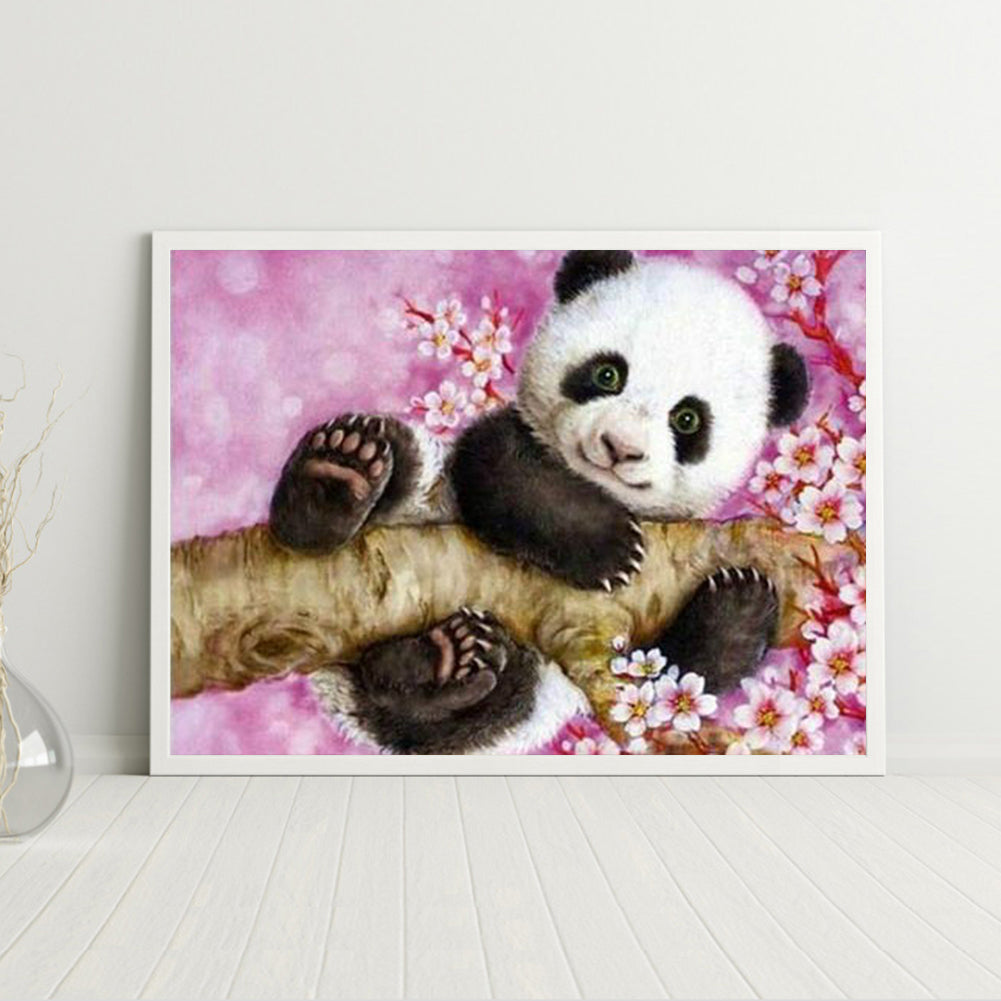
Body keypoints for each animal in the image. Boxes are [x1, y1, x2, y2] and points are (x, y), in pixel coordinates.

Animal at [270, 250, 809, 753]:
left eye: (688, 420)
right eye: (607, 374)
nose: (619, 447)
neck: (593, 486)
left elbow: (661, 679)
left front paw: (741, 603)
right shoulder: (498, 446)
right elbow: (504, 472)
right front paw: (609, 550)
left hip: (525, 687)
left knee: (463, 710)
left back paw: (444, 660)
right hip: (423, 491)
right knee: (401, 459)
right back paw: (333, 481)